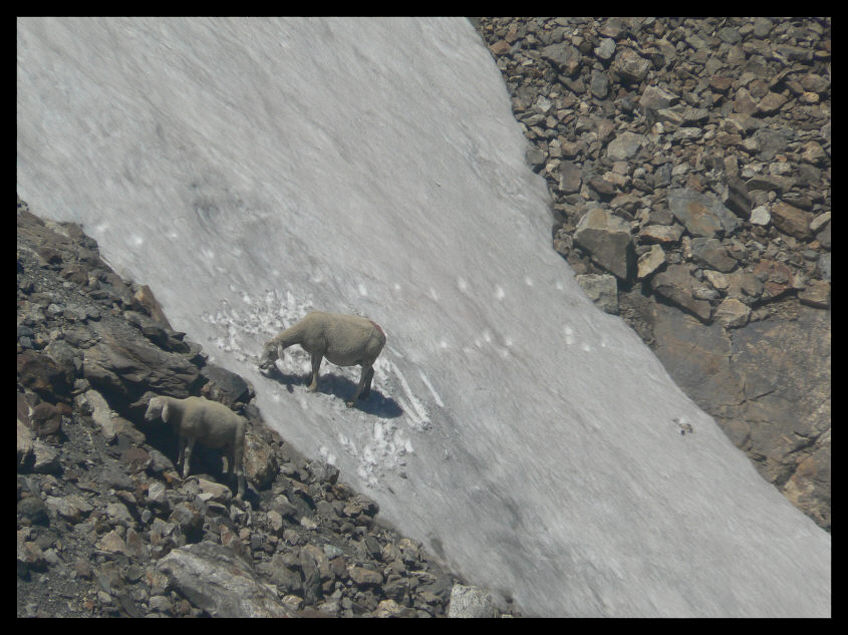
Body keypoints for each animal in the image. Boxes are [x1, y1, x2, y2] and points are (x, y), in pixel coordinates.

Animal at [258, 312, 388, 408]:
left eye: (271, 352)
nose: (260, 365)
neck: (303, 331)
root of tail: (383, 335)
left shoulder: (319, 349)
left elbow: (316, 367)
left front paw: (312, 387)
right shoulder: (313, 351)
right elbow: (312, 365)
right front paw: (309, 380)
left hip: (368, 358)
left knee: (362, 378)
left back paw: (351, 401)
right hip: (362, 359)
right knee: (371, 372)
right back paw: (365, 395)